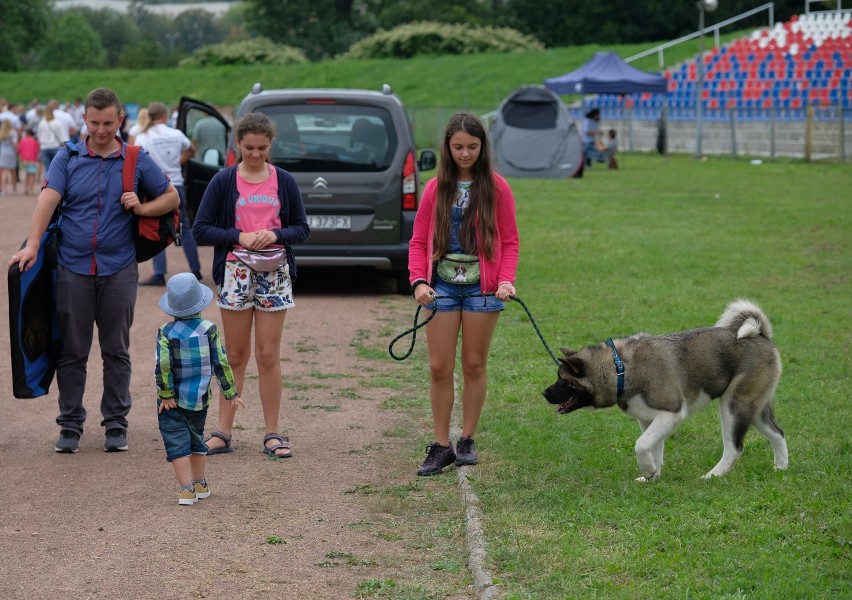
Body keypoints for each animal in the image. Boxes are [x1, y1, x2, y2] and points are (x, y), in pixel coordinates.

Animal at [544, 300, 788, 482]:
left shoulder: (670, 414)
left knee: (734, 448)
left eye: (562, 380)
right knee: (777, 433)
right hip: (754, 408)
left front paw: (648, 470)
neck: (620, 368)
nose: (544, 394)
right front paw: (652, 476)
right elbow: (653, 449)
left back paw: (712, 475)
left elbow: (641, 445)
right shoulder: (649, 420)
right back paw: (781, 468)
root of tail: (760, 334)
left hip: (733, 407)